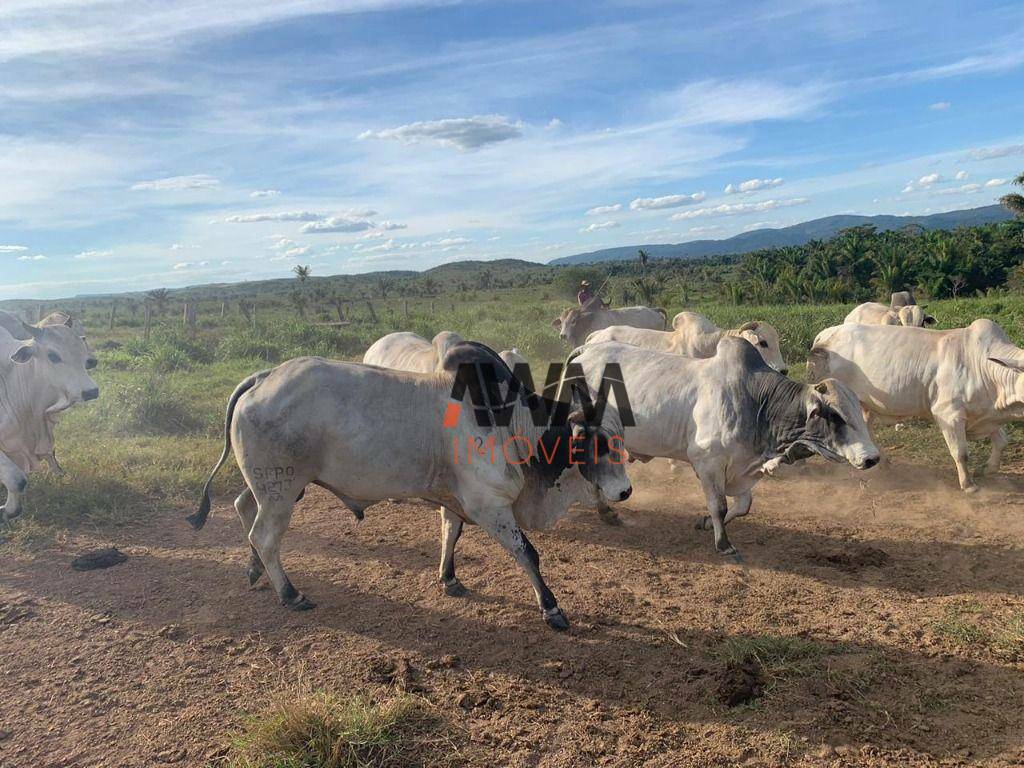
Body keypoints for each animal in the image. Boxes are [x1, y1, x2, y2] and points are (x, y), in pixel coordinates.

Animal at [187, 342, 626, 630]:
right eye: (599, 443)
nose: (625, 492)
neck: (509, 422)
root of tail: (262, 377)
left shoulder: (456, 498)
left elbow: (450, 534)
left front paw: (449, 579)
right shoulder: (490, 506)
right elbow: (528, 554)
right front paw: (552, 609)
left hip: (274, 486)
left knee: (244, 508)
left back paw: (254, 570)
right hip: (281, 490)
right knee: (264, 535)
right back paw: (290, 594)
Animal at [569, 342, 880, 561]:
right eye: (836, 415)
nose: (872, 457)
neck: (757, 402)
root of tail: (585, 350)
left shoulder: (742, 468)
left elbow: (743, 506)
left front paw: (707, 524)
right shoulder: (708, 464)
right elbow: (719, 505)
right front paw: (724, 543)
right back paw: (605, 511)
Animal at [811, 319, 1024, 493]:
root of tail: (825, 334)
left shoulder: (988, 416)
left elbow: (1002, 442)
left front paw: (989, 469)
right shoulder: (948, 414)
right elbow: (961, 453)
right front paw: (969, 485)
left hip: (865, 404)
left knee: (866, 427)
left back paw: (883, 462)